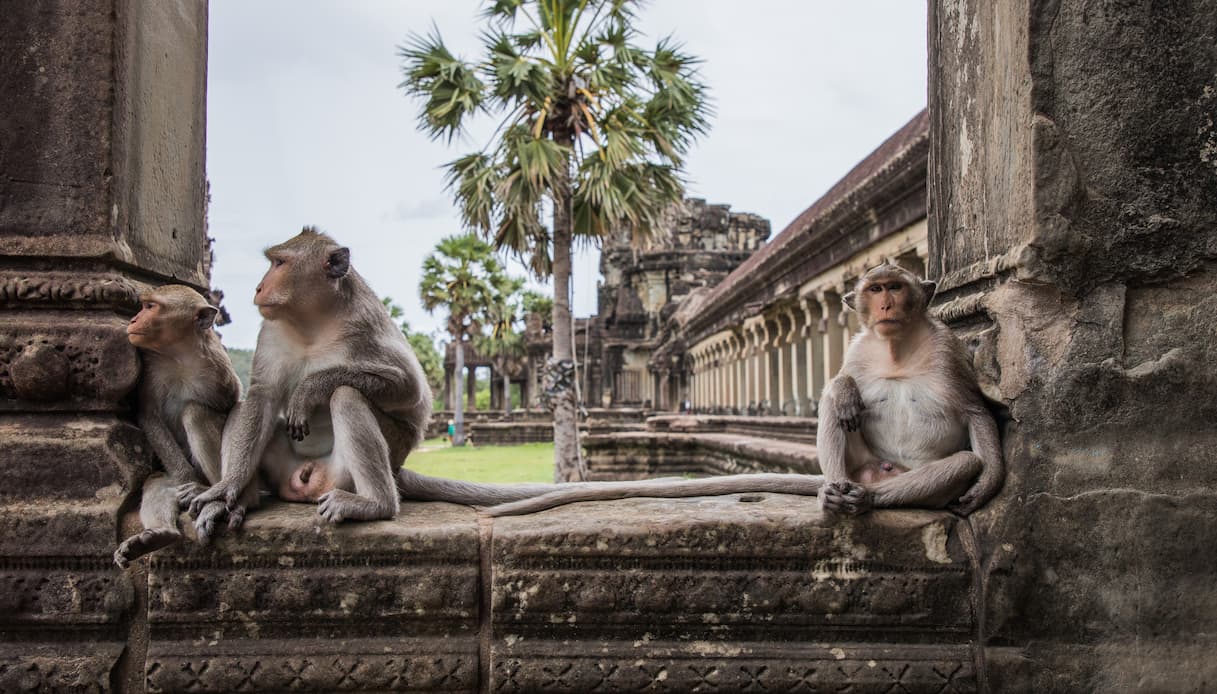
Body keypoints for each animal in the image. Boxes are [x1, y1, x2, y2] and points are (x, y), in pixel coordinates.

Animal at [114, 283, 254, 564]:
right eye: (143, 306)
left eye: (150, 307)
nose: (133, 320)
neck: (178, 354)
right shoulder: (150, 367)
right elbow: (150, 417)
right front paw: (185, 480)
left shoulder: (218, 366)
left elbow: (234, 407)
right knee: (157, 481)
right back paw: (160, 534)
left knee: (194, 412)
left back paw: (212, 498)